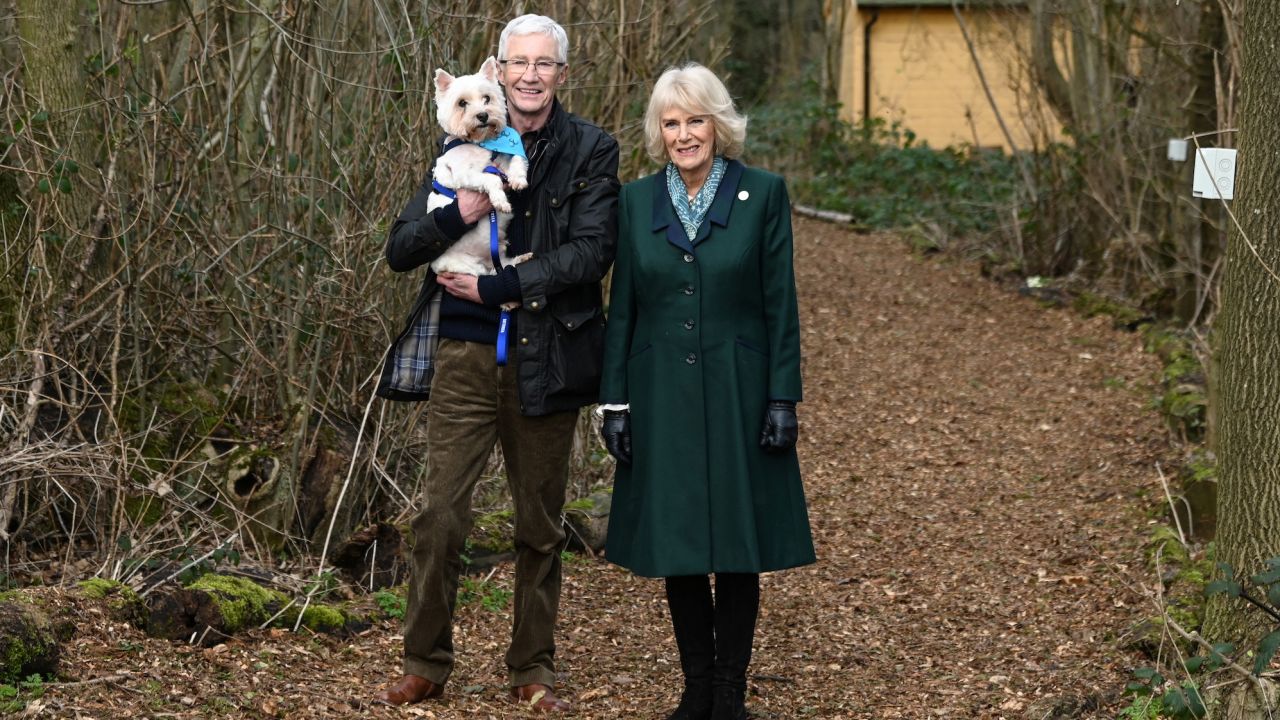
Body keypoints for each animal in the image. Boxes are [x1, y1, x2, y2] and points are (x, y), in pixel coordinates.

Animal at [430, 55, 529, 274]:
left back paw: (522, 258)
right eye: (462, 103)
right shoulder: (465, 175)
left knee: (505, 265)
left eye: (487, 98)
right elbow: (491, 179)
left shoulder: (501, 162)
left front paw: (518, 179)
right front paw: (501, 201)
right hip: (467, 268)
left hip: (498, 259)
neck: (479, 142)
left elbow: (516, 160)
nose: (483, 115)